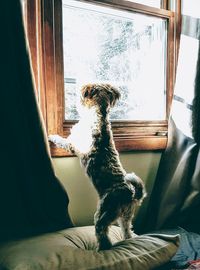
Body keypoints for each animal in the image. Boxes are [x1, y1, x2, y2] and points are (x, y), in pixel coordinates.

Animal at [48, 83, 147, 251]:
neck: (99, 114)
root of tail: (130, 193)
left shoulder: (72, 144)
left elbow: (62, 141)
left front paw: (52, 137)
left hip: (103, 215)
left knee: (103, 235)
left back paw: (100, 249)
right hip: (125, 217)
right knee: (128, 232)